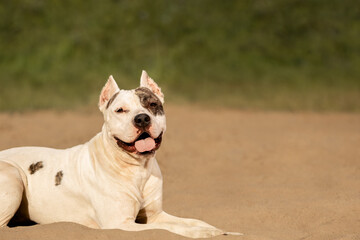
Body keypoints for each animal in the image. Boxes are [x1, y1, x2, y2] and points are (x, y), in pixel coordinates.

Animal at [0, 70, 242, 237]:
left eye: (152, 104)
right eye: (120, 110)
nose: (142, 118)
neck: (136, 168)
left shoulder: (155, 215)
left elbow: (192, 221)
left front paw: (220, 230)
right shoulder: (120, 223)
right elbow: (169, 230)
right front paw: (204, 234)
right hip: (12, 176)